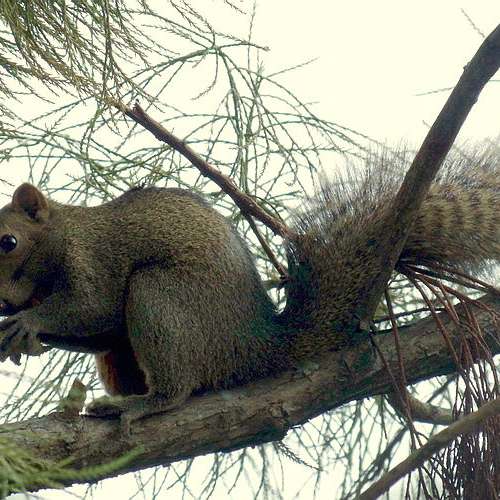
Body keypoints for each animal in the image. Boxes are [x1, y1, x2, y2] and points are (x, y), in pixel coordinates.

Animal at [0, 148, 498, 426]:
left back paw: (141, 405)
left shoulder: (93, 260)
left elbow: (92, 307)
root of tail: (256, 345)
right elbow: (96, 331)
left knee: (177, 387)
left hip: (159, 296)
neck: (62, 232)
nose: (4, 302)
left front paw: (29, 320)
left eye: (8, 242)